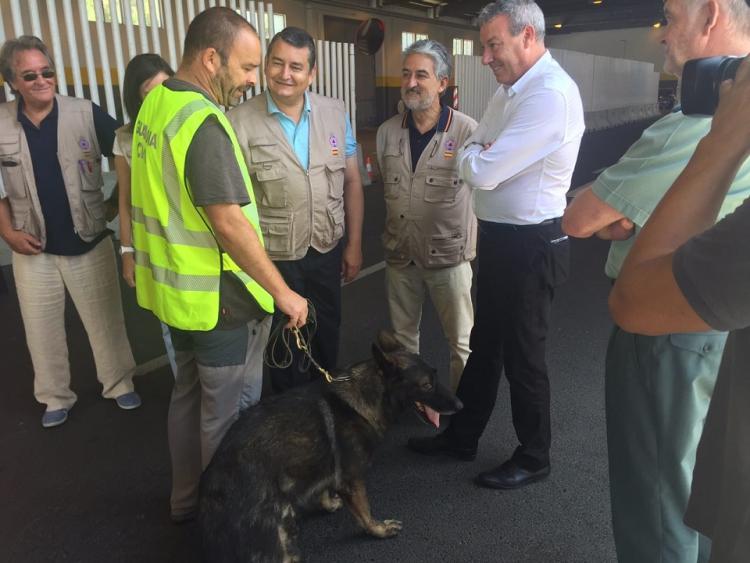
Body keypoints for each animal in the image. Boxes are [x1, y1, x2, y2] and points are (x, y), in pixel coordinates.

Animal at [200, 332, 462, 560]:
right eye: (426, 385)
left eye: (436, 376)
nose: (460, 405)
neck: (367, 395)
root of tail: (213, 485)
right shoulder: (352, 479)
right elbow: (364, 511)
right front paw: (378, 530)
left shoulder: (330, 466)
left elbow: (325, 486)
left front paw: (327, 503)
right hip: (280, 544)